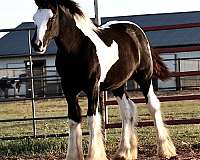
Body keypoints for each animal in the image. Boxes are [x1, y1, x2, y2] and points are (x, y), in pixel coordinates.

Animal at [31, 0, 177, 159]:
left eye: (51, 18)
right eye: (34, 18)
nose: (37, 44)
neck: (77, 48)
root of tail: (136, 31)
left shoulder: (92, 87)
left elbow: (92, 118)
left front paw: (95, 155)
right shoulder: (68, 89)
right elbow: (73, 119)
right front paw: (74, 155)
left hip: (144, 77)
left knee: (152, 105)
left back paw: (165, 150)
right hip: (118, 85)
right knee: (127, 111)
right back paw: (124, 152)